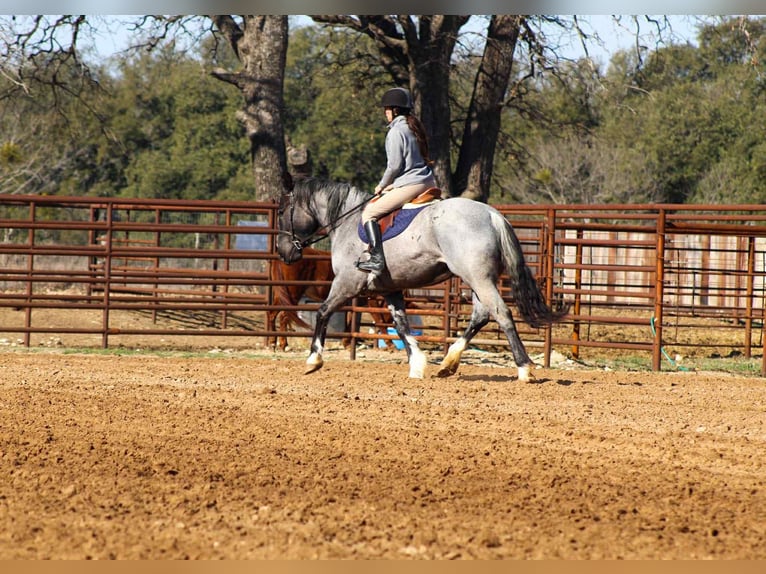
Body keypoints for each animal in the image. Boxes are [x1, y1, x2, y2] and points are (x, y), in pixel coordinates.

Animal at [275, 178, 569, 381]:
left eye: (282, 211)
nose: (282, 251)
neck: (347, 223)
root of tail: (491, 214)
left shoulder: (346, 284)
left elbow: (323, 311)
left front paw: (313, 360)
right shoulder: (390, 289)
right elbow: (401, 325)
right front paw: (416, 365)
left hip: (478, 277)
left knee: (501, 313)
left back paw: (524, 369)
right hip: (478, 279)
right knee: (481, 315)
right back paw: (449, 363)